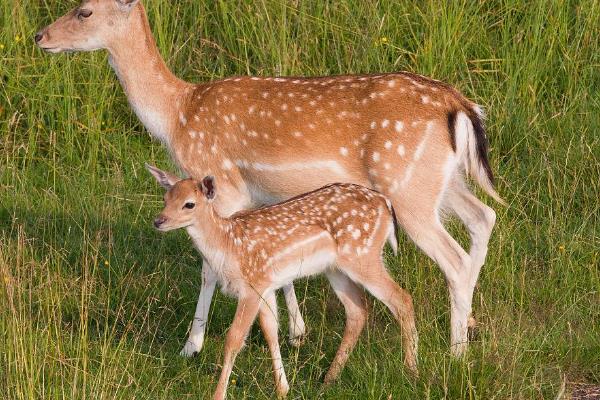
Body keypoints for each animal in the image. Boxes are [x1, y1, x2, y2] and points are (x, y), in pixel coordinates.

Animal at [36, 0, 502, 356]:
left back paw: (455, 353)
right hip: (442, 181)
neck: (176, 117)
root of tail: (459, 105)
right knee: (485, 217)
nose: (40, 36)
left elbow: (209, 267)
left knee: (455, 257)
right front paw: (296, 332)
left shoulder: (221, 187)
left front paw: (192, 346)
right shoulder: (261, 198)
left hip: (406, 187)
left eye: (84, 10)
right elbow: (278, 261)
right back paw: (470, 327)